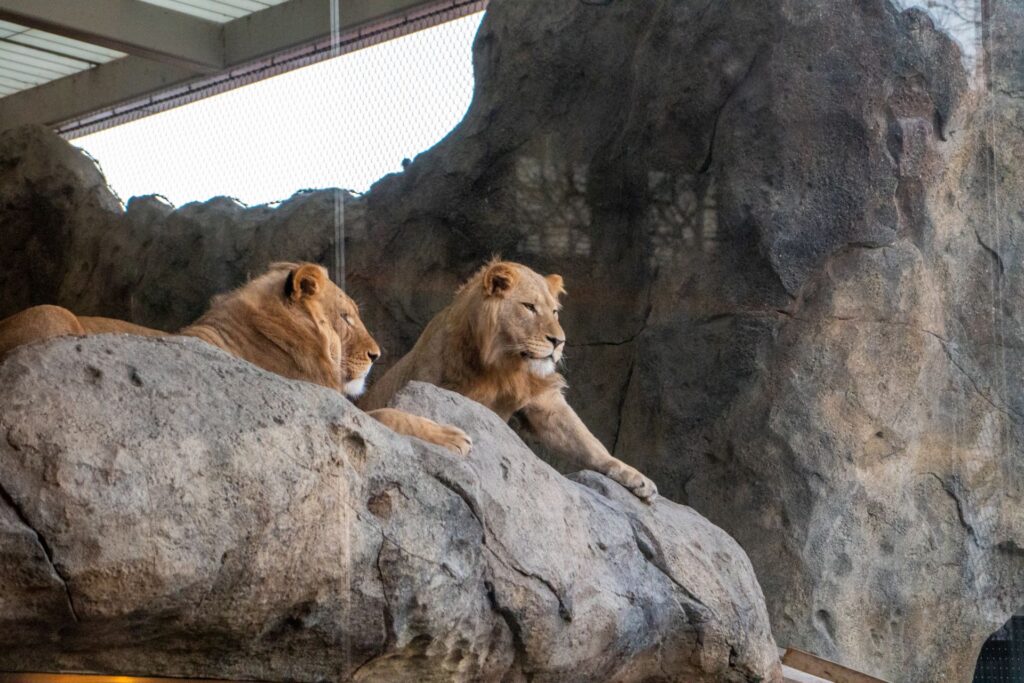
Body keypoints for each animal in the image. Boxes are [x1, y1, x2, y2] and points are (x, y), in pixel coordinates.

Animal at [0, 264, 471, 456]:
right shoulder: (320, 398)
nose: (377, 354)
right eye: (347, 317)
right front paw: (454, 437)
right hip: (54, 314)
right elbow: (388, 416)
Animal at [364, 259, 659, 499]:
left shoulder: (544, 401)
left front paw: (633, 475)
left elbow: (586, 440)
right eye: (529, 307)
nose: (559, 341)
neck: (504, 365)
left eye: (554, 312)